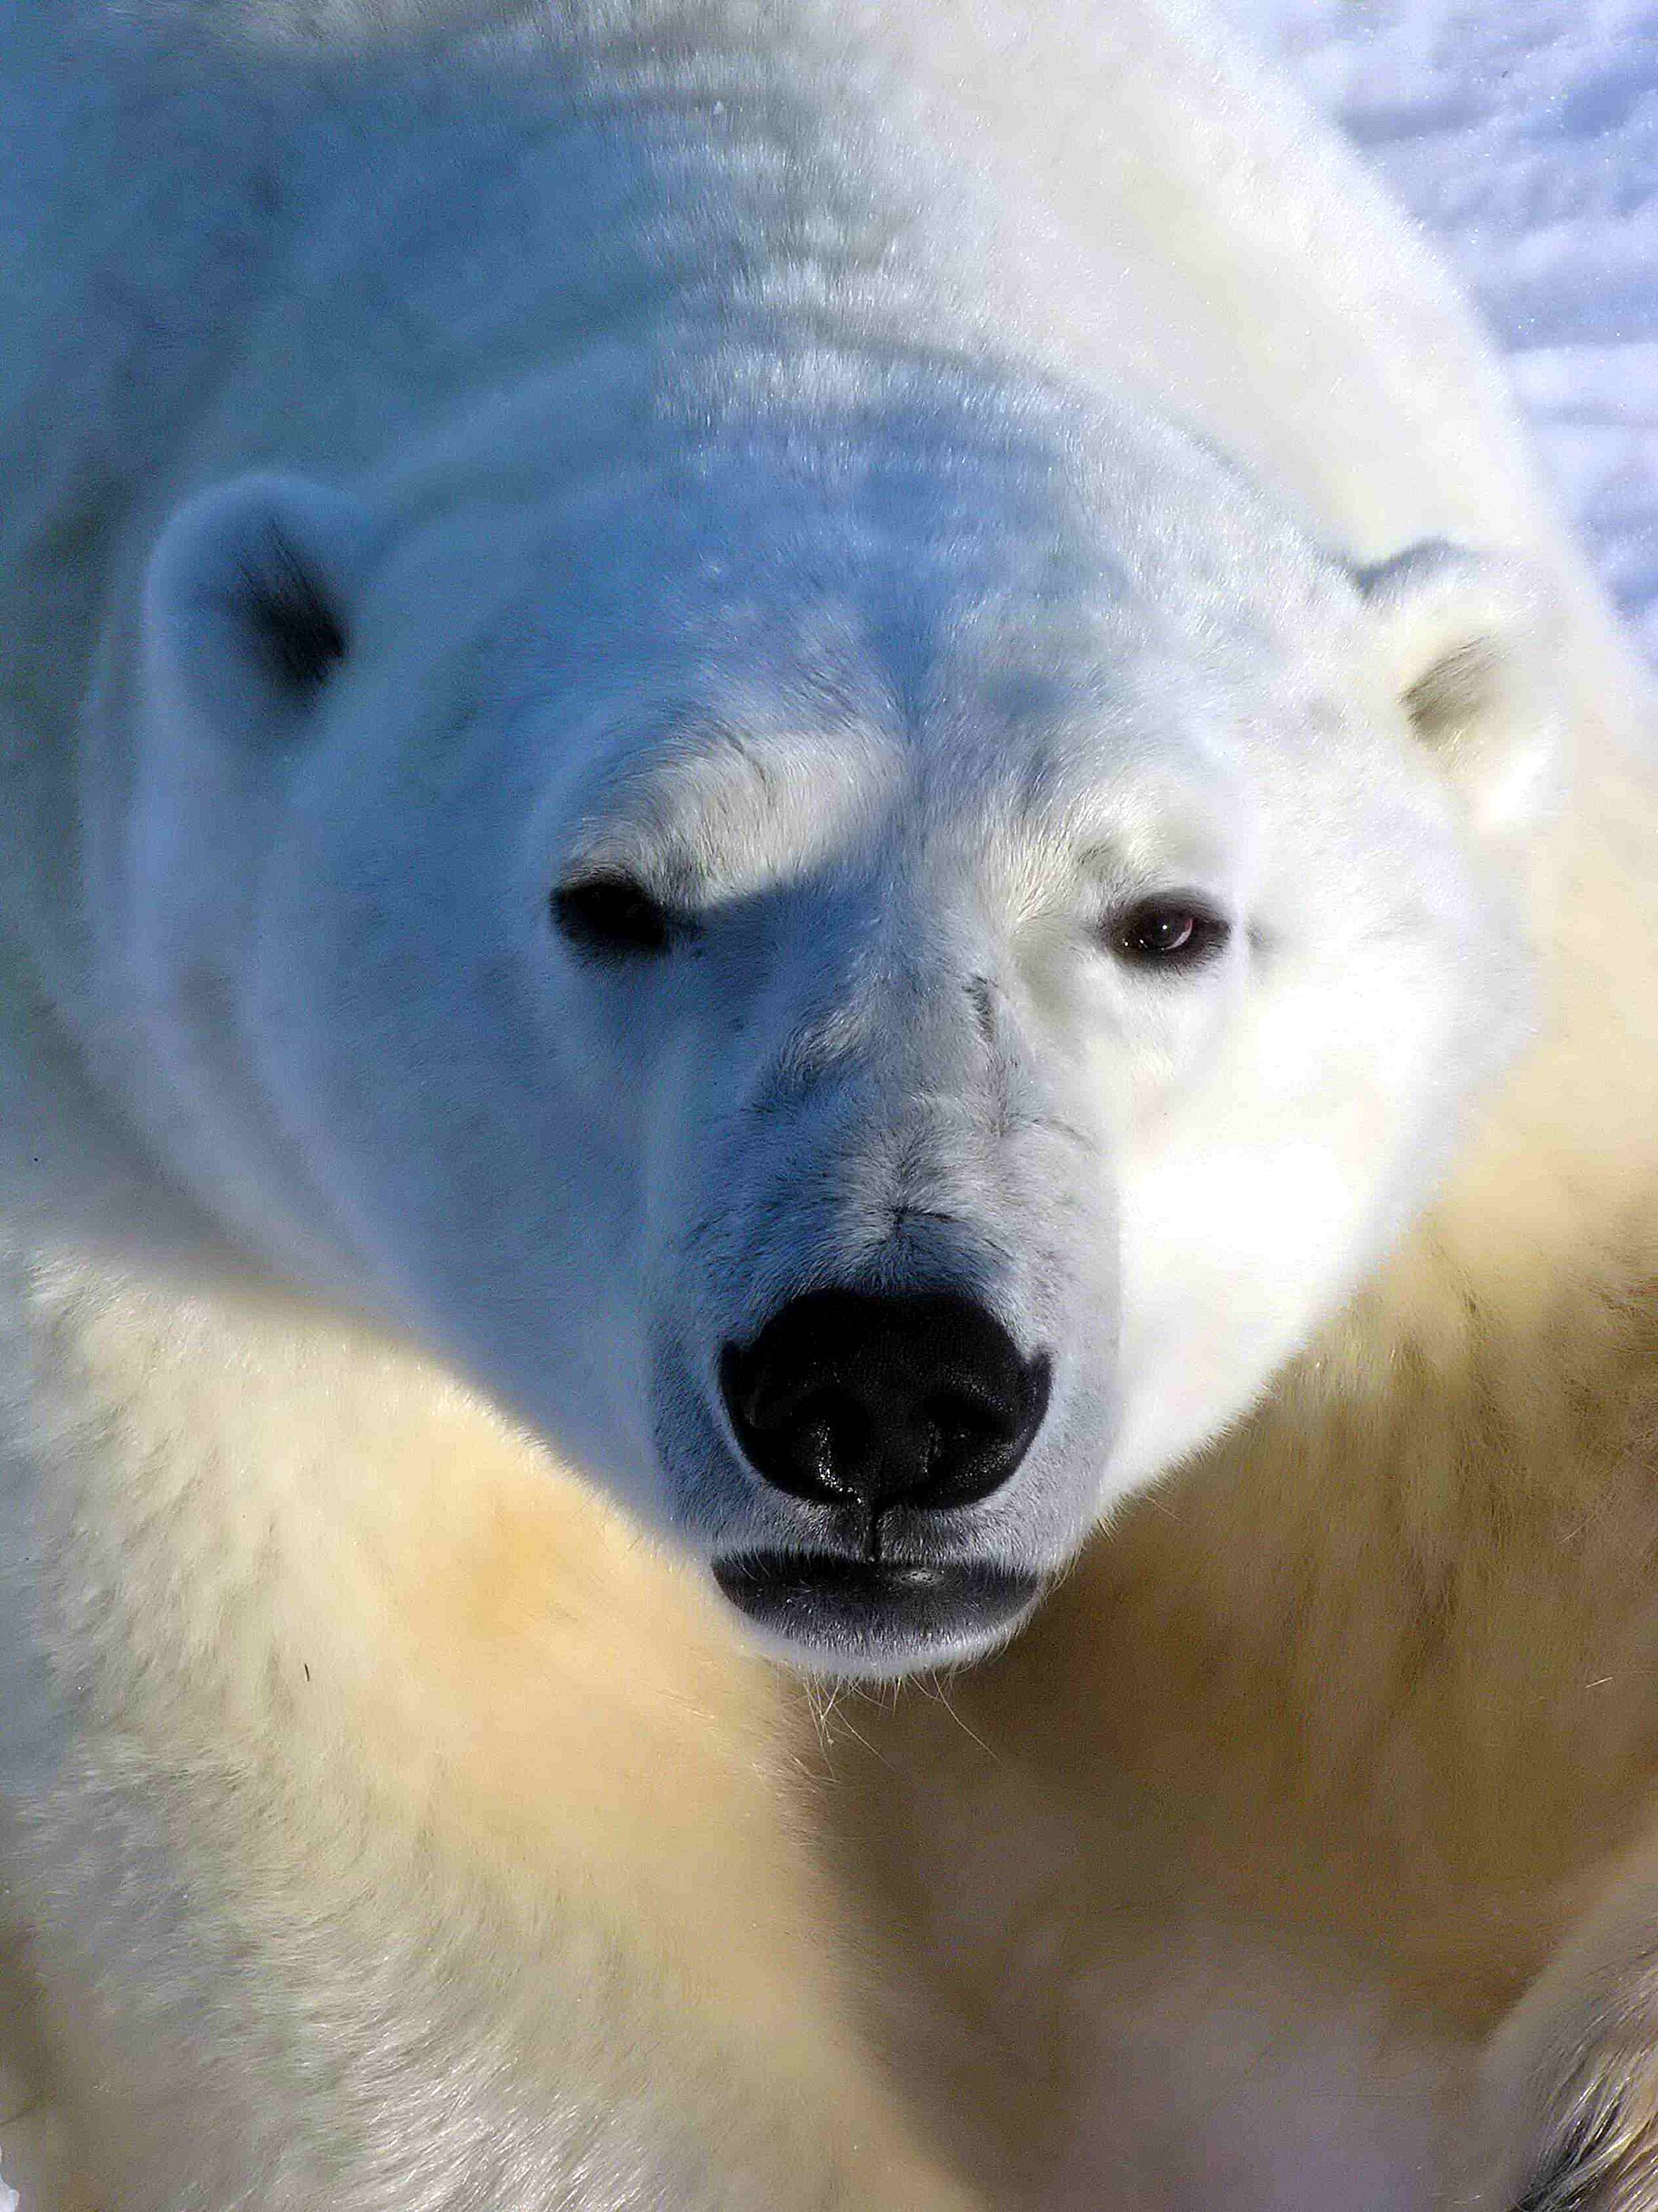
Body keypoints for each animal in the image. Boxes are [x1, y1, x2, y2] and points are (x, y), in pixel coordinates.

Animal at [1, 1, 1655, 2208]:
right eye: (617, 897)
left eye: (1167, 916)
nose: (885, 1383)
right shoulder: (158, 1173)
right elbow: (419, 1853)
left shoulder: (1530, 1069)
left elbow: (1525, 1471)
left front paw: (1604, 2115)